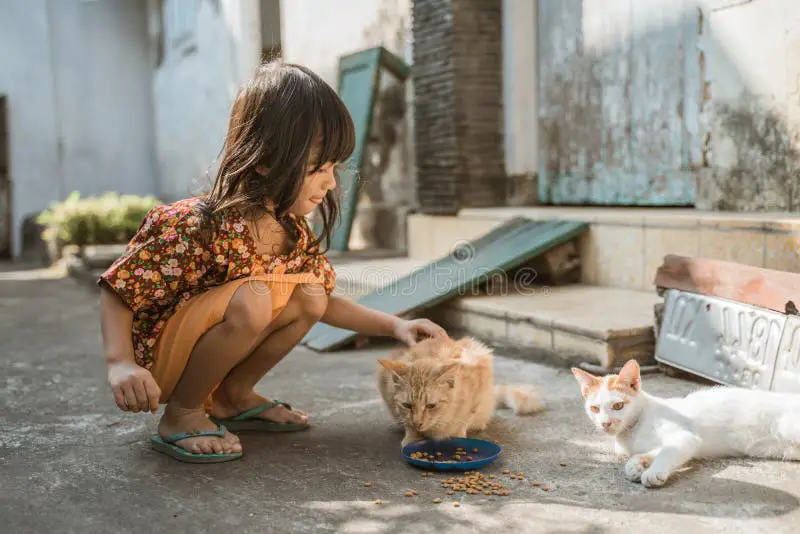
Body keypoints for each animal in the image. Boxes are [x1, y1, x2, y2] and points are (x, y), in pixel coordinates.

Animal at [376, 340, 544, 448]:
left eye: (431, 406)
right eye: (407, 405)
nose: (417, 423)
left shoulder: (479, 383)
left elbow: (465, 418)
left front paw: (457, 435)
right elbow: (407, 424)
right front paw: (411, 437)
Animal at [572, 360, 800, 490]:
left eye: (618, 405)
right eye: (594, 409)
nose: (605, 423)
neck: (632, 431)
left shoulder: (685, 437)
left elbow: (668, 451)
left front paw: (654, 471)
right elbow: (650, 452)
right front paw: (636, 465)